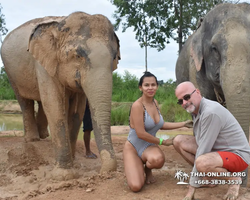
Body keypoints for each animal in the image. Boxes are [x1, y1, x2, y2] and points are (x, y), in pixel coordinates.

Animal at [0, 11, 121, 180]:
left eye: (114, 57)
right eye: (78, 55)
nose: (103, 172)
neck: (60, 25)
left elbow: (78, 111)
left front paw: (74, 163)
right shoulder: (44, 63)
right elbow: (54, 105)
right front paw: (64, 175)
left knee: (40, 101)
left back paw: (43, 136)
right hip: (11, 72)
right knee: (25, 102)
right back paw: (33, 139)